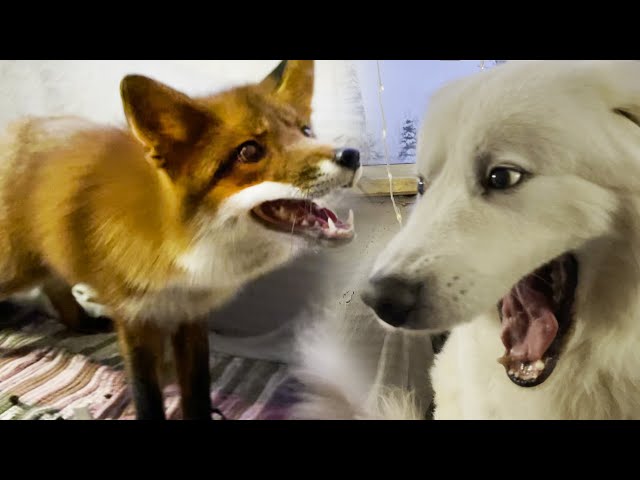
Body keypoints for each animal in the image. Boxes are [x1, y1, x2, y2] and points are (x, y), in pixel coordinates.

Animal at [0, 60, 361, 420]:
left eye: (305, 131)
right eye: (249, 151)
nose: (351, 155)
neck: (183, 254)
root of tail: (18, 127)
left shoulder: (191, 315)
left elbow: (197, 385)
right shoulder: (134, 319)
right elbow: (146, 393)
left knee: (54, 285)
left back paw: (80, 323)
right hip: (16, 270)